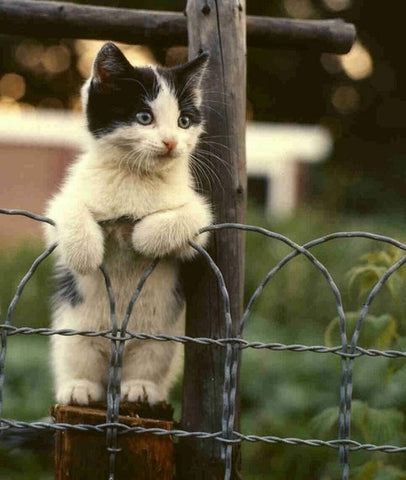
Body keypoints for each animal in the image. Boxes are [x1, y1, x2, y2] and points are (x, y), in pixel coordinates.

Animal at [44, 43, 214, 406]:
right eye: (144, 118)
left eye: (184, 121)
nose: (171, 142)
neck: (136, 176)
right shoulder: (62, 203)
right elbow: (67, 211)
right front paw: (84, 253)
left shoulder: (199, 217)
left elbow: (189, 218)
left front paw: (143, 237)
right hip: (73, 332)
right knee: (77, 359)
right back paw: (78, 388)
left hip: (159, 340)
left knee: (149, 364)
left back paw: (140, 388)